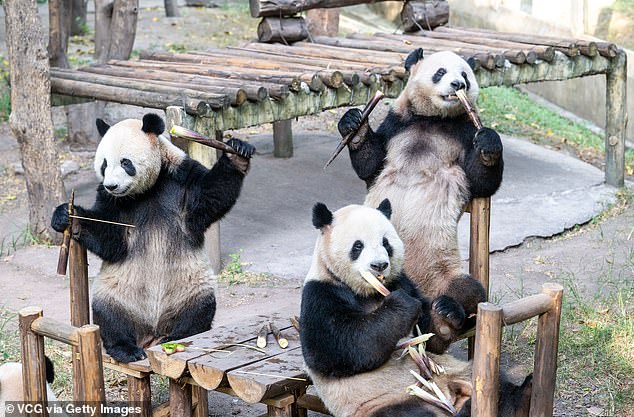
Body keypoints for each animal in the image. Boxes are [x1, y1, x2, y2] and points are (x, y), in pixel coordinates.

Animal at [51, 112, 254, 362]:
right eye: (104, 164)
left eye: (125, 163)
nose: (111, 186)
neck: (146, 190)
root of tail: (151, 335)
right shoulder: (111, 201)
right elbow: (112, 239)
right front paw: (67, 217)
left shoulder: (182, 179)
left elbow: (213, 195)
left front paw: (237, 152)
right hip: (117, 294)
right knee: (109, 317)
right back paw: (126, 349)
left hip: (190, 288)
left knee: (198, 311)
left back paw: (177, 336)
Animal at [298, 200, 532, 414]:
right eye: (358, 246)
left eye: (386, 243)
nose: (379, 265)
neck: (369, 291)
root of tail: (450, 396)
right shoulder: (321, 295)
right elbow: (340, 348)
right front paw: (401, 306)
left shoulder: (403, 281)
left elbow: (430, 340)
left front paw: (445, 312)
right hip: (390, 399)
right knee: (406, 413)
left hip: (461, 371)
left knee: (495, 381)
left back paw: (521, 398)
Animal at [336, 49, 504, 354]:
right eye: (440, 72)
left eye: (465, 74)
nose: (458, 85)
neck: (435, 119)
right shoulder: (397, 123)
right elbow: (371, 164)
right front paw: (353, 122)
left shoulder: (464, 130)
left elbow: (481, 182)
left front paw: (488, 142)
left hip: (444, 271)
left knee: (469, 291)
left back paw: (447, 316)